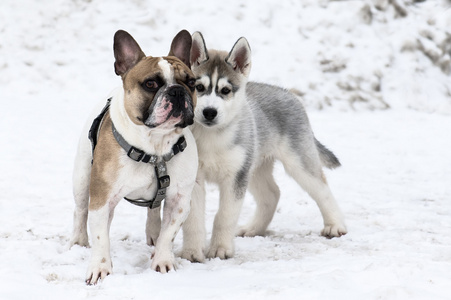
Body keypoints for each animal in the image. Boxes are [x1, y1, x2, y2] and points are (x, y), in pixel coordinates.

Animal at [70, 29, 198, 284]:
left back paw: (153, 234)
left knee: (154, 210)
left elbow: (169, 234)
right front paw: (100, 268)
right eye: (151, 83)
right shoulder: (101, 199)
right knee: (80, 211)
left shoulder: (180, 201)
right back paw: (78, 242)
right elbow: (100, 237)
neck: (155, 148)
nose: (177, 90)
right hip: (81, 178)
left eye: (191, 83)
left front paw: (162, 261)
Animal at [182, 32, 348, 262]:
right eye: (199, 87)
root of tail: (289, 93)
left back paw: (335, 226)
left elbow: (225, 215)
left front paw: (221, 249)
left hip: (297, 163)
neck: (212, 137)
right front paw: (191, 253)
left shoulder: (236, 177)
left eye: (225, 90)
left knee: (322, 188)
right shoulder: (194, 177)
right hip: (256, 168)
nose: (209, 112)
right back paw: (253, 229)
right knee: (272, 194)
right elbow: (193, 218)